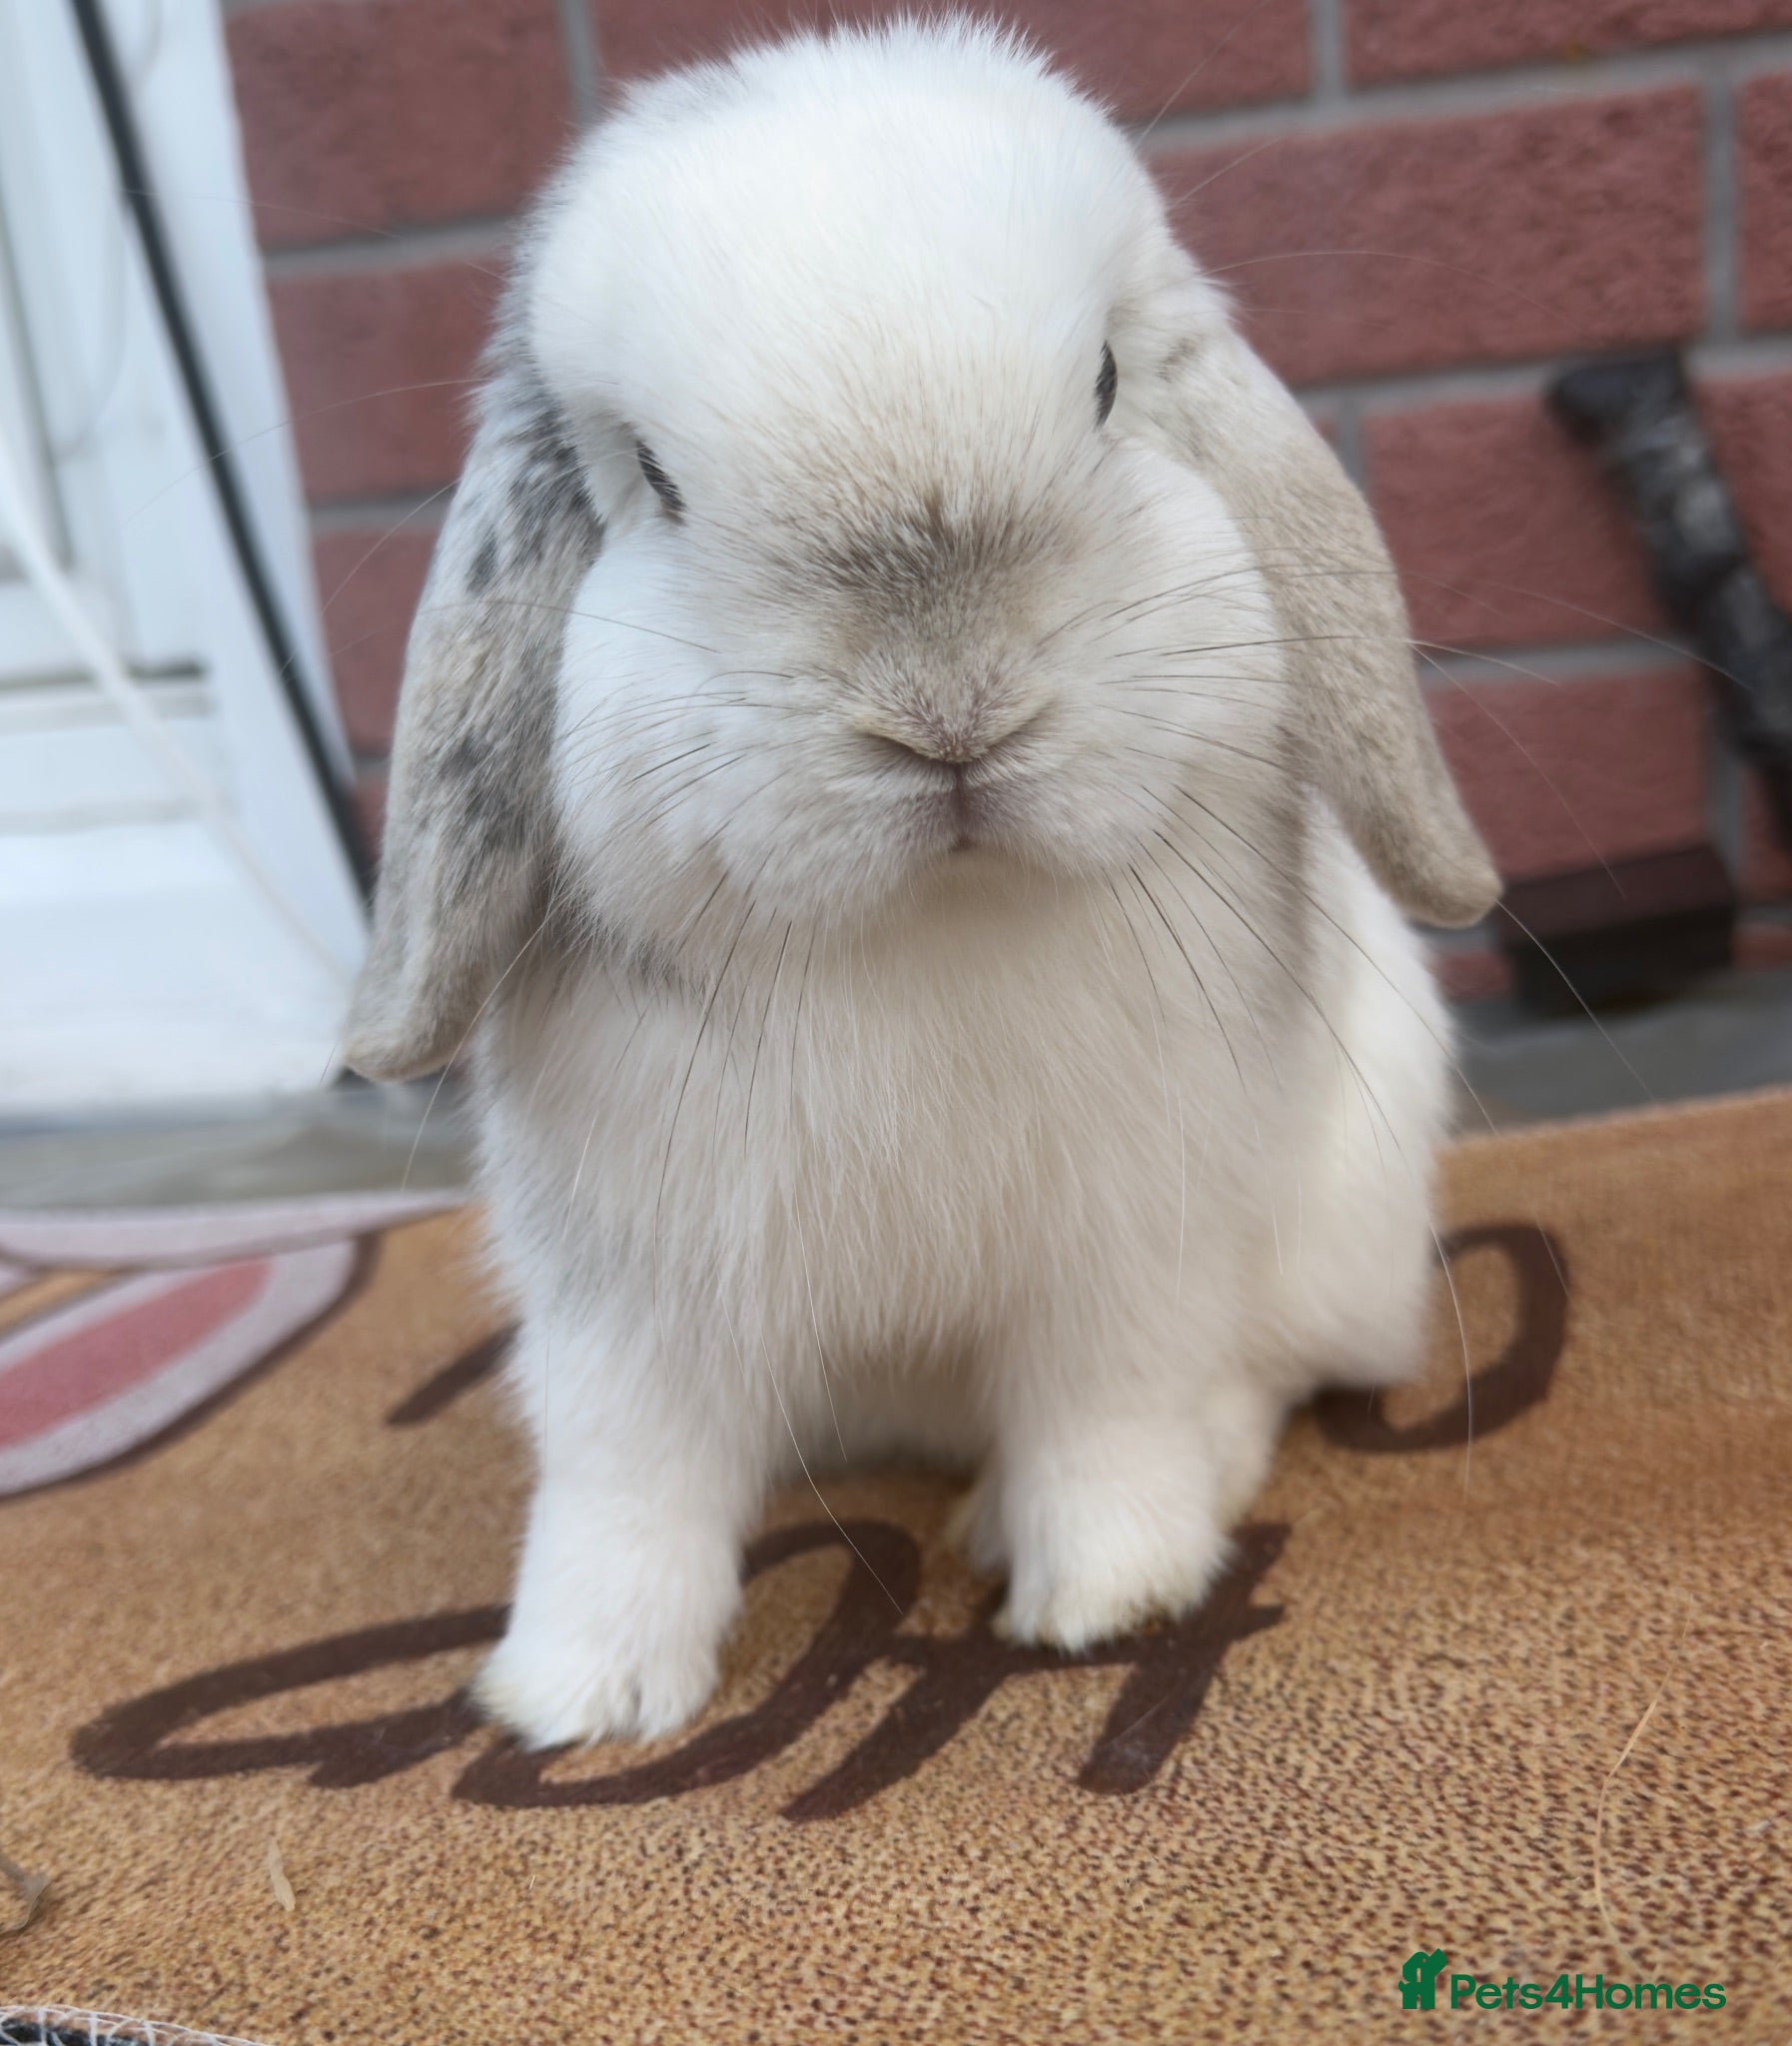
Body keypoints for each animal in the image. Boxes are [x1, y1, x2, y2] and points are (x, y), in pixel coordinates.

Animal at [343, 17, 1499, 1750]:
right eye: (657, 483)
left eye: (1103, 388)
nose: (950, 712)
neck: (925, 927)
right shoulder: (631, 1299)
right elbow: (625, 1486)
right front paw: (579, 1698)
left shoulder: (1120, 1250)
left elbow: (1110, 1418)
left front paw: (1106, 1601)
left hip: (1340, 1231)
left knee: (1260, 1376)